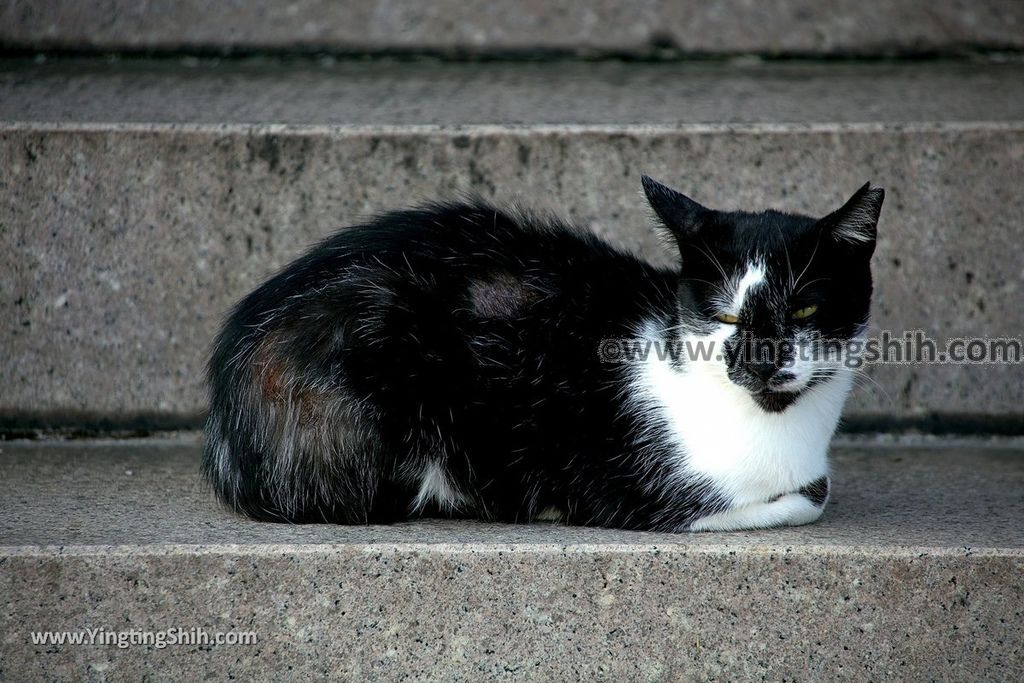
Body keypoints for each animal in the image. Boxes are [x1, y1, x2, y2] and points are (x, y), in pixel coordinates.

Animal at [203, 174, 884, 532]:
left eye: (803, 312)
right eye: (723, 314)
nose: (756, 361)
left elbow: (815, 489)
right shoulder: (632, 492)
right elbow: (803, 499)